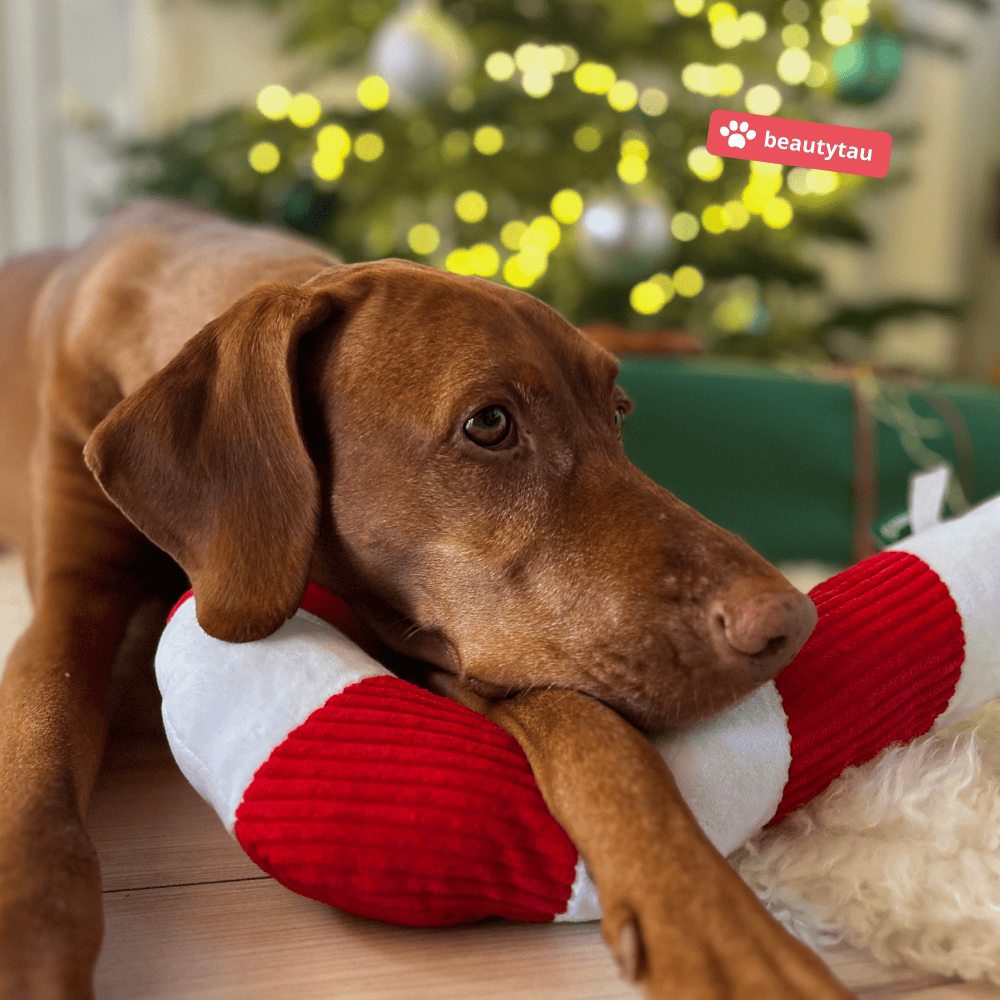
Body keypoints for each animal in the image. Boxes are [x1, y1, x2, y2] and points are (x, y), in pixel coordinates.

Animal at [0, 199, 852, 996]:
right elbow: (37, 775)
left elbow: (599, 733)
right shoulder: (74, 598)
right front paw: (29, 952)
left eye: (618, 414)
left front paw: (717, 925)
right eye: (490, 423)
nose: (791, 620)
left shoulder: (428, 629)